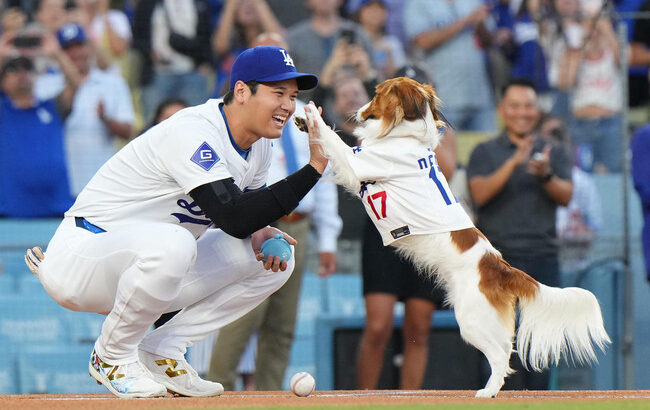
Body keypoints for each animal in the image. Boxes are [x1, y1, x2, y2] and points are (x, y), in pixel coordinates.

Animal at [296, 77, 612, 398]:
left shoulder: (357, 163)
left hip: (471, 320)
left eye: (376, 94)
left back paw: (488, 391)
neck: (405, 135)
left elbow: (334, 141)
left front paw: (310, 114)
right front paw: (302, 121)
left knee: (500, 356)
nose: (357, 111)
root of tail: (501, 268)